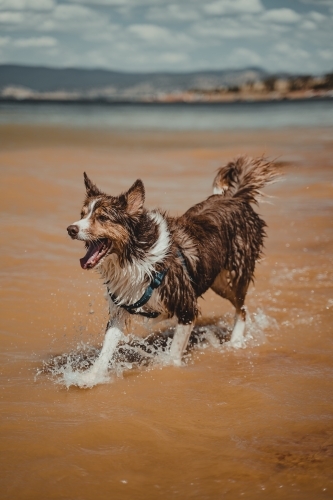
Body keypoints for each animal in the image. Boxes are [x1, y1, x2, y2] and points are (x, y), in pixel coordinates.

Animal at [66, 156, 276, 386]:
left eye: (103, 217)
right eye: (82, 214)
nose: (71, 229)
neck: (135, 256)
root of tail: (235, 197)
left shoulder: (187, 305)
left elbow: (174, 351)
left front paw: (167, 368)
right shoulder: (121, 306)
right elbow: (107, 347)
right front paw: (90, 377)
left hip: (234, 275)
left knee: (242, 308)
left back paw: (236, 341)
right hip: (217, 281)